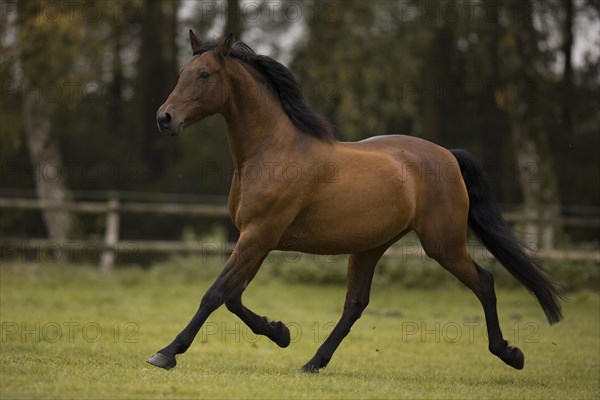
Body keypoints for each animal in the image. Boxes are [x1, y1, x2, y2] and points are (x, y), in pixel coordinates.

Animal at [146, 31, 564, 372]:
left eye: (204, 75)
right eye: (183, 72)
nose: (164, 118)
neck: (271, 151)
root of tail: (447, 155)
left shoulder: (259, 234)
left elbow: (215, 293)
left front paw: (166, 353)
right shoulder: (258, 238)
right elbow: (233, 296)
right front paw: (280, 332)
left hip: (442, 244)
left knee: (485, 282)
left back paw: (510, 354)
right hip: (370, 246)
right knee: (355, 305)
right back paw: (313, 362)